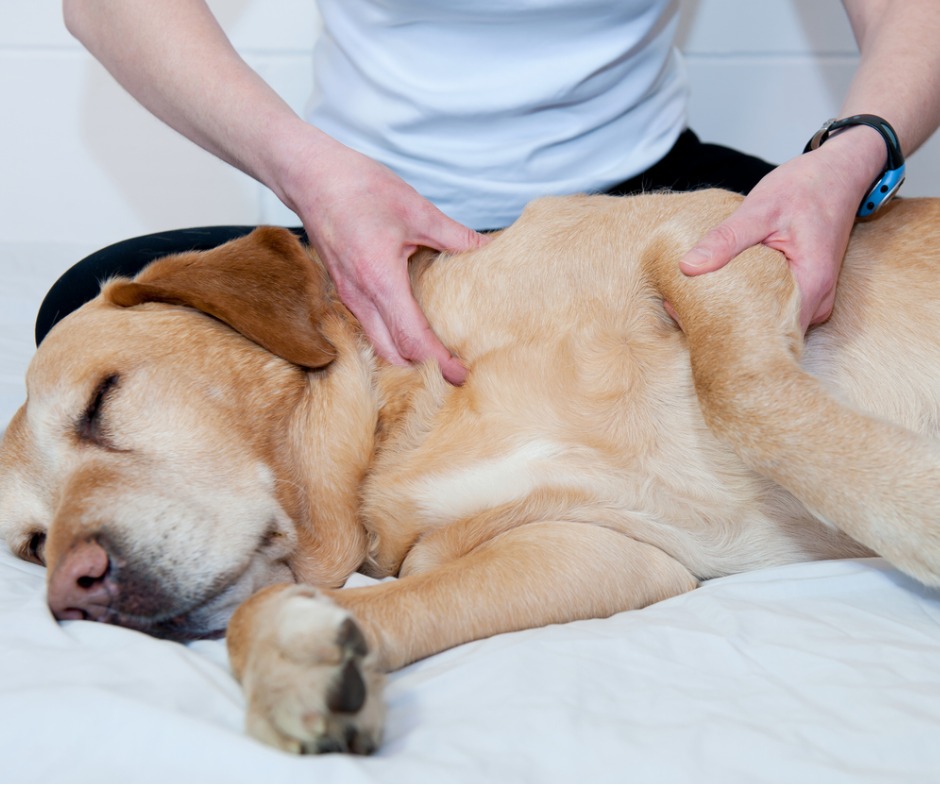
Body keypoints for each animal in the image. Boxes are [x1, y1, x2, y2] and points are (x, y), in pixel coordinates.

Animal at [1, 189, 940, 752]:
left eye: (102, 400)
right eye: (30, 546)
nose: (73, 590)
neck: (401, 427)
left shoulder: (708, 239)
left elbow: (745, 393)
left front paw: (915, 508)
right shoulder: (599, 552)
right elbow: (341, 606)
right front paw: (295, 659)